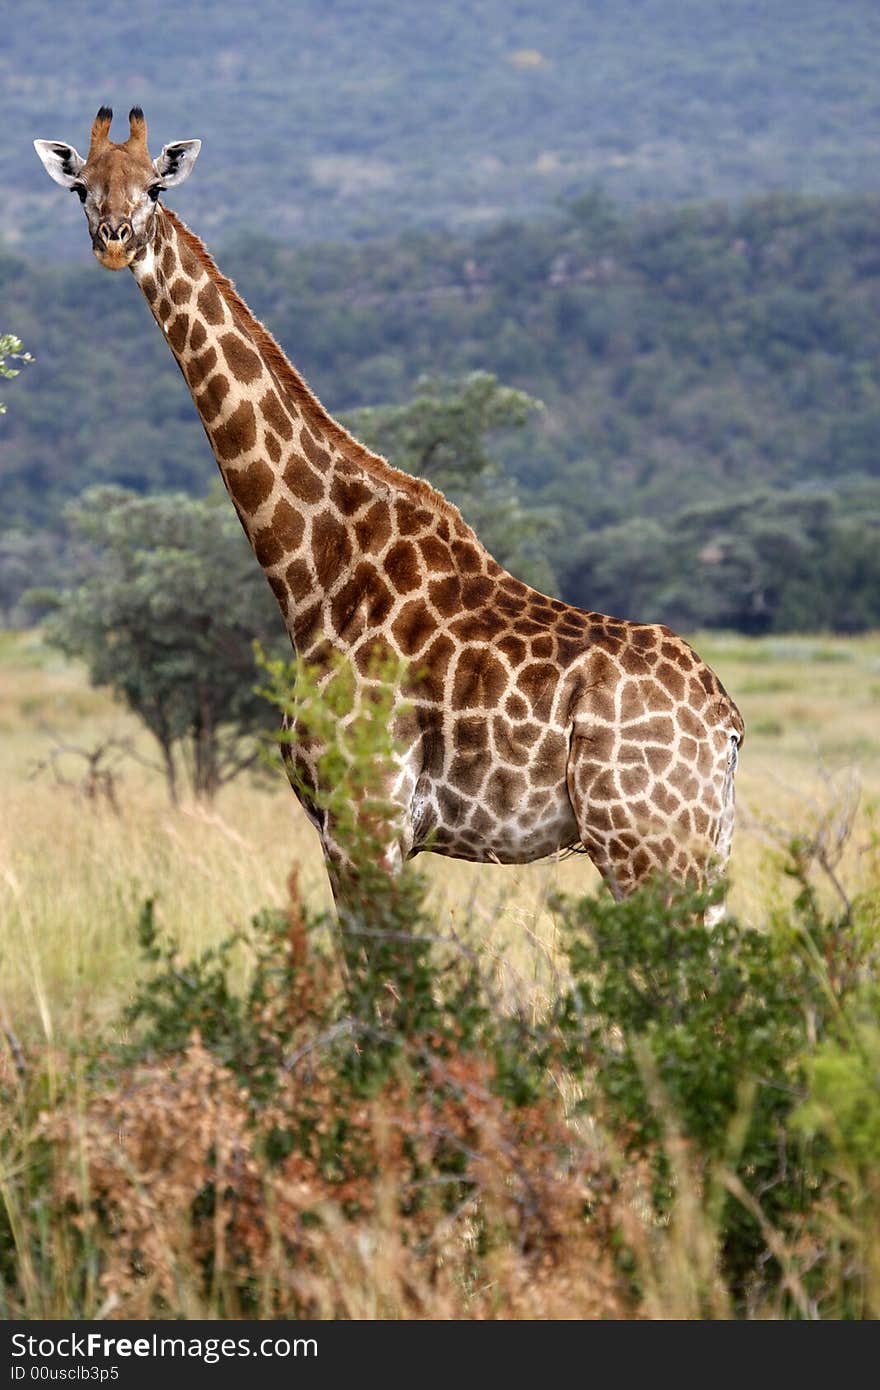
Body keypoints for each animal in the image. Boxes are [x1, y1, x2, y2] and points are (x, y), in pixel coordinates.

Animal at [37, 111, 745, 922]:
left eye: (155, 186)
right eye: (82, 189)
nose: (114, 239)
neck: (317, 570)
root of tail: (726, 721)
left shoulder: (364, 813)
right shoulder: (355, 823)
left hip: (645, 846)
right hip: (698, 851)